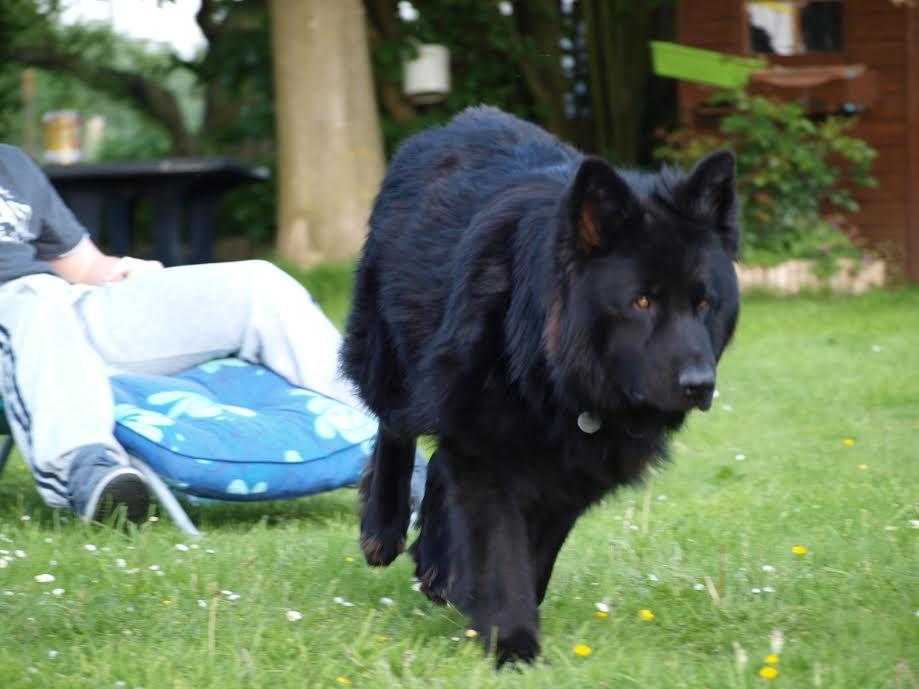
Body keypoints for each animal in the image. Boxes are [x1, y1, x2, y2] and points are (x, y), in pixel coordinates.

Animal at [342, 106, 740, 664]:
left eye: (704, 303)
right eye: (641, 302)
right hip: (394, 360)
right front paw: (512, 643)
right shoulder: (486, 450)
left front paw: (477, 605)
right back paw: (383, 527)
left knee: (438, 462)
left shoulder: (569, 473)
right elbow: (501, 553)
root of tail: (453, 124)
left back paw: (436, 566)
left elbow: (534, 556)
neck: (554, 374)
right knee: (394, 427)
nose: (700, 384)